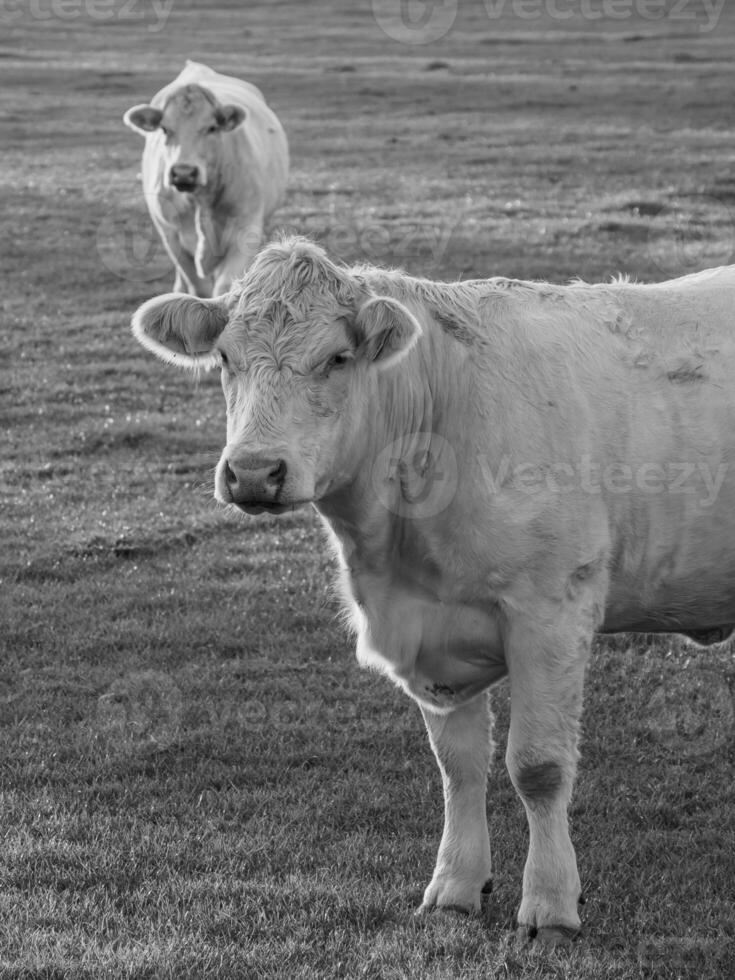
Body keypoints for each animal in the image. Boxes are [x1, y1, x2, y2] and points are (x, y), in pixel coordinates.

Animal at [123, 60, 288, 294]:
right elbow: (197, 286)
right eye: (164, 129)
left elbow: (226, 285)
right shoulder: (170, 235)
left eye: (211, 127)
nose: (183, 173)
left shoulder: (246, 229)